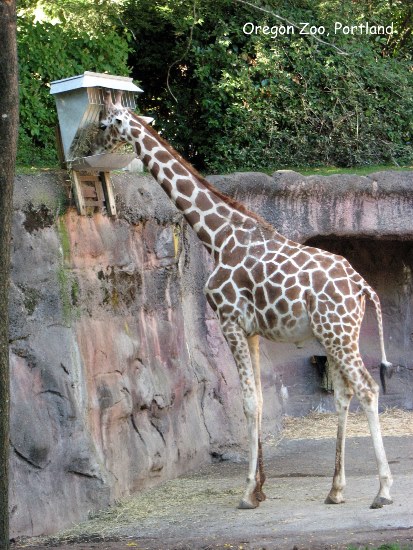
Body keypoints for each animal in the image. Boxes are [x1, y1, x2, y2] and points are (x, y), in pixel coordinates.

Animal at [91, 89, 394, 510]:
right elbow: (261, 402)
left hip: (337, 332)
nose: (90, 148)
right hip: (335, 334)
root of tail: (362, 286)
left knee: (367, 389)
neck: (216, 236)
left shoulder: (229, 320)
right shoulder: (251, 330)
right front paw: (261, 487)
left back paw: (383, 491)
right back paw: (335, 489)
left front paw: (248, 491)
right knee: (345, 394)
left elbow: (247, 402)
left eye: (105, 123)